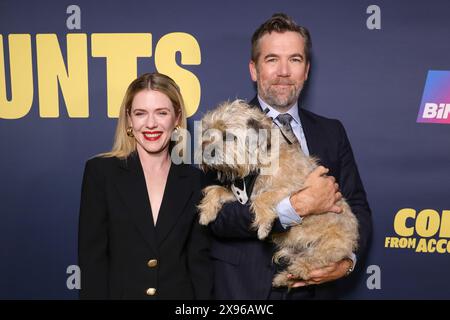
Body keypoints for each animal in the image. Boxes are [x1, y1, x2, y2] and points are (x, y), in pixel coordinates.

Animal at [197, 100, 358, 288]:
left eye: (228, 136)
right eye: (207, 132)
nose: (204, 152)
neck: (259, 163)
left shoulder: (294, 188)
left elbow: (262, 198)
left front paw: (263, 226)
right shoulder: (242, 194)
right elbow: (217, 190)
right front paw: (207, 212)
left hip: (329, 246)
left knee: (313, 263)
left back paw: (298, 268)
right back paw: (282, 278)